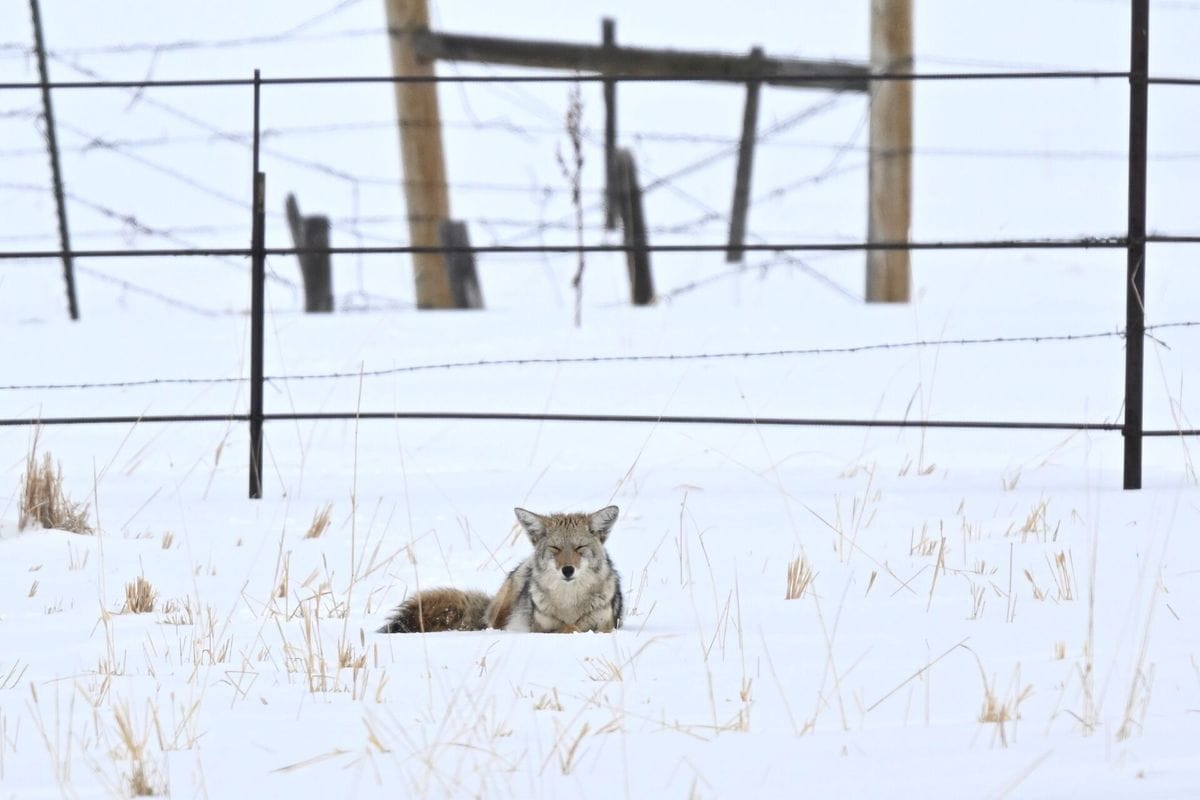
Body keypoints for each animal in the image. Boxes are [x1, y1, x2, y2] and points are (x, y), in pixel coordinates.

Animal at [378, 505, 623, 634]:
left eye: (579, 548)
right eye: (555, 548)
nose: (568, 570)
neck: (569, 603)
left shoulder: (604, 627)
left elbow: (578, 628)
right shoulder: (540, 628)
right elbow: (564, 629)